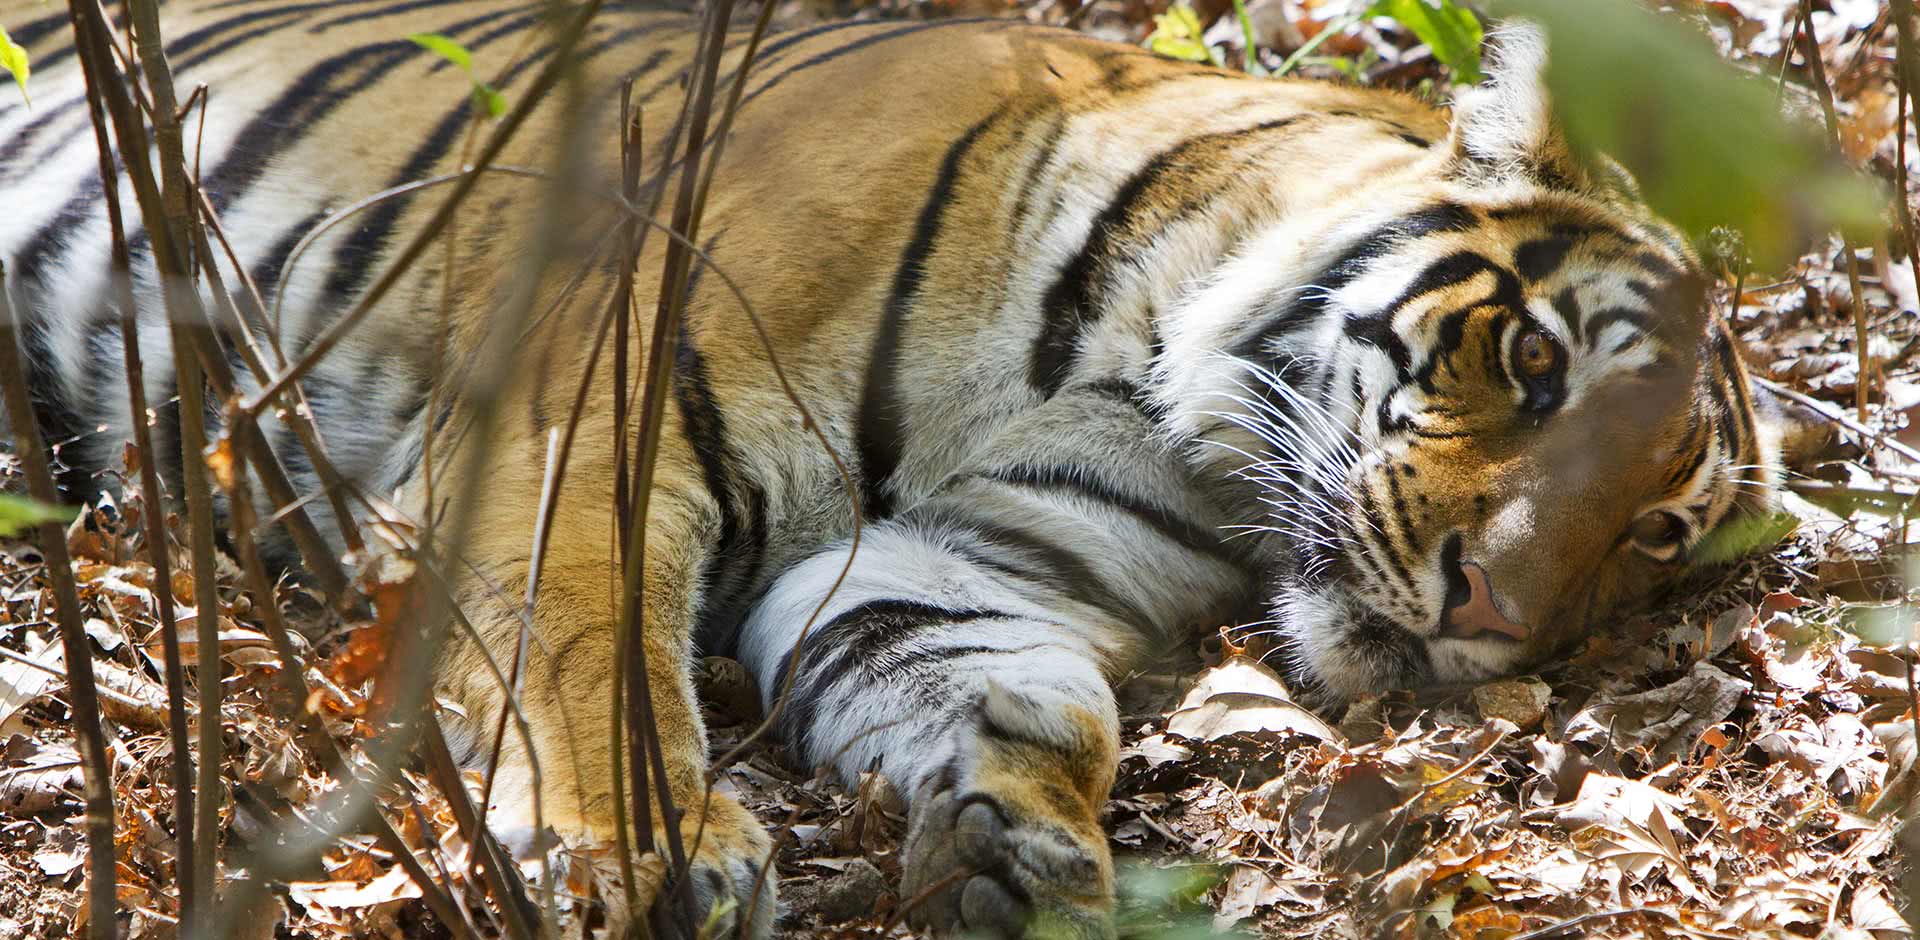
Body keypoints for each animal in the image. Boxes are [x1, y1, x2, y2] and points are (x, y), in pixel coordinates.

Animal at [0, 0, 1827, 936]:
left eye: (1651, 535)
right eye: (1536, 363)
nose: (1489, 616)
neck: (1141, 372)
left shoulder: (953, 561)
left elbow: (1020, 692)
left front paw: (1018, 847)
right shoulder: (586, 410)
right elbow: (586, 646)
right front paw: (637, 855)